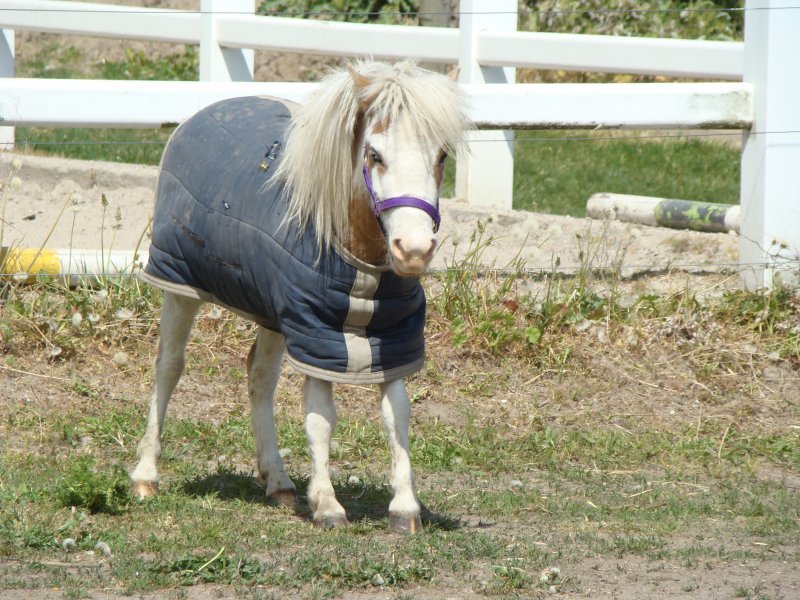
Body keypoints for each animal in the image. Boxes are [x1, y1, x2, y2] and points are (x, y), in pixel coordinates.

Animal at [130, 60, 468, 533]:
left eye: (441, 156)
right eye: (375, 155)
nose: (414, 250)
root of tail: (200, 115)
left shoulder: (390, 337)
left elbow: (396, 413)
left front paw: (405, 507)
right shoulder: (316, 334)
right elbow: (321, 418)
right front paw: (327, 505)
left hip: (271, 310)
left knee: (259, 376)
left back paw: (278, 481)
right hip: (179, 285)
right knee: (169, 367)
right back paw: (146, 475)